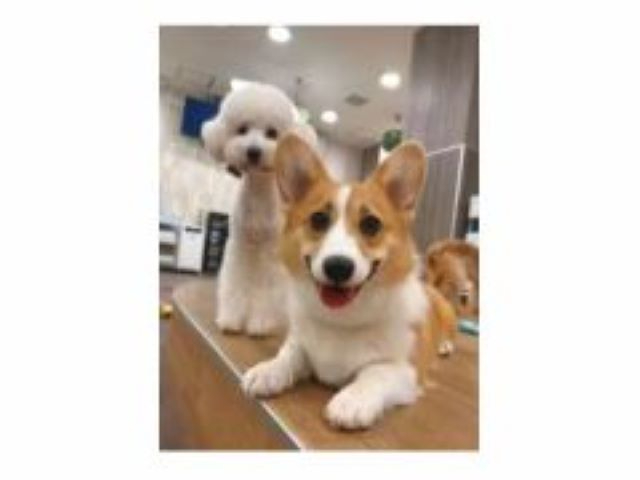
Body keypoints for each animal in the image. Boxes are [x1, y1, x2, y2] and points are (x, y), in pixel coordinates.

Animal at [201, 83, 317, 335]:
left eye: (272, 133)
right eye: (242, 129)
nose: (253, 151)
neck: (259, 200)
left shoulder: (271, 253)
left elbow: (267, 289)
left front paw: (260, 323)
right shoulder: (241, 245)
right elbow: (236, 281)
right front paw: (231, 319)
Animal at [242, 133, 430, 429]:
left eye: (371, 224)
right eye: (318, 219)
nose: (338, 267)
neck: (342, 321)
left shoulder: (408, 372)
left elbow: (376, 372)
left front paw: (352, 400)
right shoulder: (299, 343)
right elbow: (289, 354)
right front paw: (268, 370)